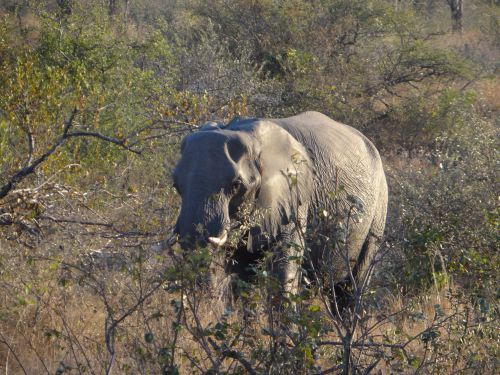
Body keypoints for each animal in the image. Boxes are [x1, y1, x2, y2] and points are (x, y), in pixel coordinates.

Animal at [172, 110, 386, 306]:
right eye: (176, 185)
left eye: (236, 185)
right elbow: (243, 277)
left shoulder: (294, 195)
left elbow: (283, 270)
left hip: (379, 208)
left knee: (353, 288)